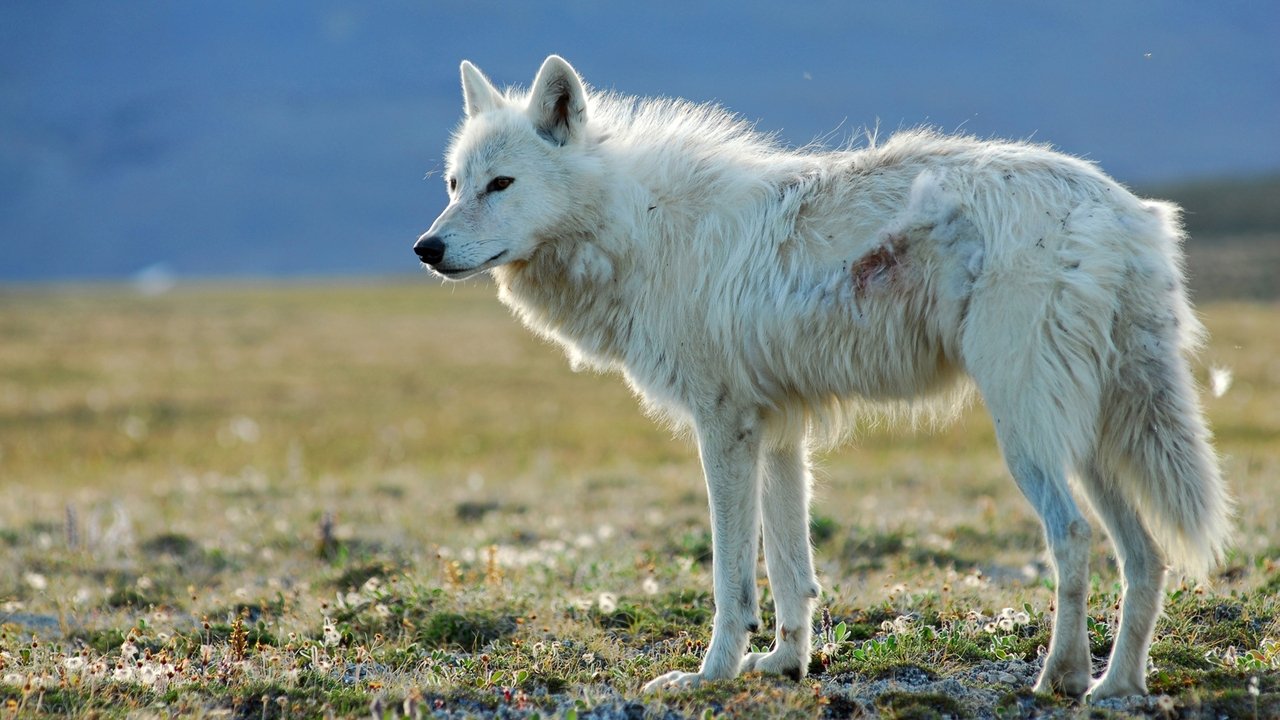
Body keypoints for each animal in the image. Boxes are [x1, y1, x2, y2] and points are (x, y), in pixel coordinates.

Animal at [412, 57, 1228, 702]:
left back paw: (1058, 677)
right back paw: (1116, 686)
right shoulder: (780, 430)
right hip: (1089, 440)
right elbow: (790, 570)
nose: (426, 248)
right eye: (453, 184)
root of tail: (1127, 212)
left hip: (1026, 434)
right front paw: (784, 666)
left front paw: (711, 675)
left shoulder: (725, 429)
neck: (641, 229)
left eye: (500, 184)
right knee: (1145, 556)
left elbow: (732, 579)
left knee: (1073, 537)